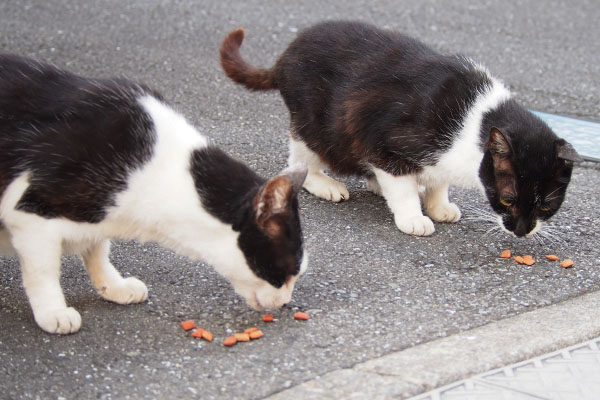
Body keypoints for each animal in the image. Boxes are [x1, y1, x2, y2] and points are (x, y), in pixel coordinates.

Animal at [0, 54, 308, 334]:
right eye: (287, 271)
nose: (285, 303)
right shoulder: (30, 214)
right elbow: (43, 270)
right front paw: (53, 312)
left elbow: (98, 250)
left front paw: (114, 286)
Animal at [220, 19, 580, 238]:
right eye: (507, 199)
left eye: (546, 206)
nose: (521, 230)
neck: (476, 122)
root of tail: (285, 54)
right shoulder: (385, 140)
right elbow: (401, 184)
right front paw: (413, 217)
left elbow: (438, 181)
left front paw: (437, 204)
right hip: (317, 126)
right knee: (299, 161)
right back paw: (327, 184)